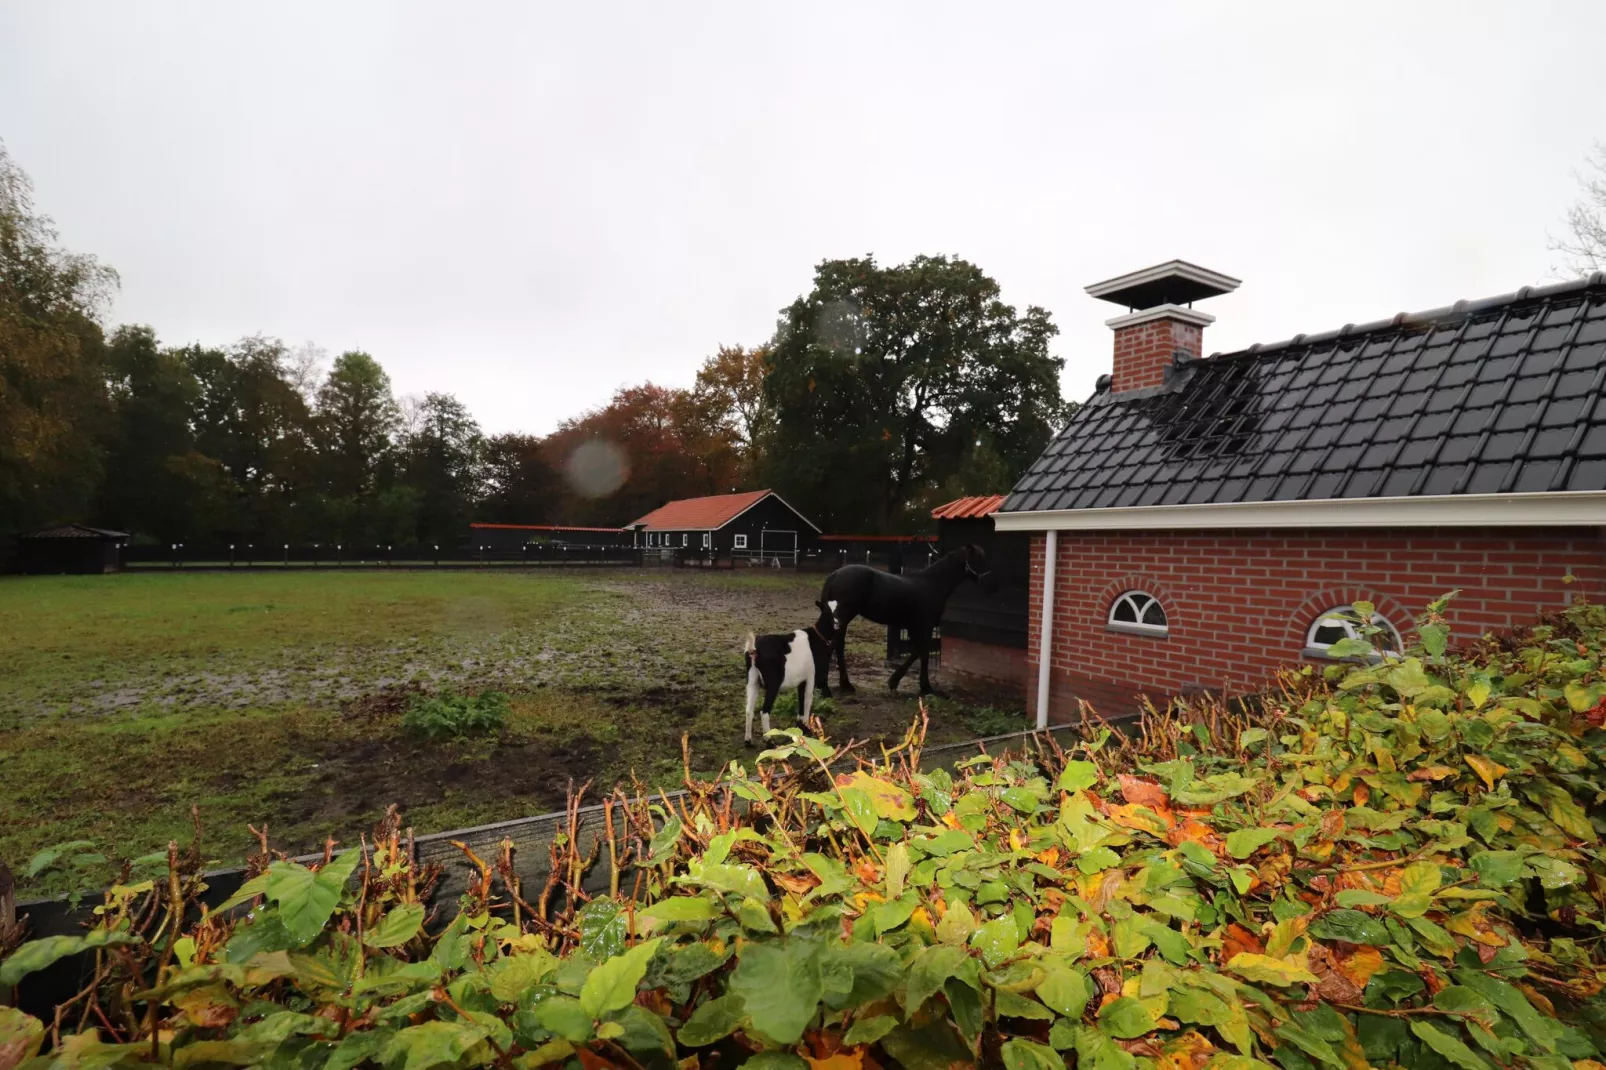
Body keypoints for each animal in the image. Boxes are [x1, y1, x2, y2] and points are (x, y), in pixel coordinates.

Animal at [822, 546, 995, 697]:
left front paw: (896, 682)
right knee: (834, 646)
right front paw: (924, 687)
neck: (933, 584)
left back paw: (843, 685)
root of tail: (836, 574)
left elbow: (917, 651)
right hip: (845, 616)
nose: (992, 584)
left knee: (835, 644)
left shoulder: (914, 627)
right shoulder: (924, 626)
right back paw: (833, 687)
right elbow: (922, 652)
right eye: (978, 559)